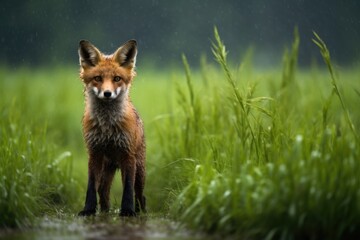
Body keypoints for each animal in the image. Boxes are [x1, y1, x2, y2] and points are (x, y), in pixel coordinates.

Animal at [77, 39, 146, 218]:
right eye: (97, 78)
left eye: (117, 78)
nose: (107, 93)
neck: (108, 127)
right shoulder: (94, 153)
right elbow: (91, 186)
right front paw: (88, 209)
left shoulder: (128, 155)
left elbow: (128, 188)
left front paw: (127, 211)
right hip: (106, 168)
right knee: (103, 190)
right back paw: (104, 211)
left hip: (139, 170)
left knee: (140, 195)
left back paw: (141, 211)